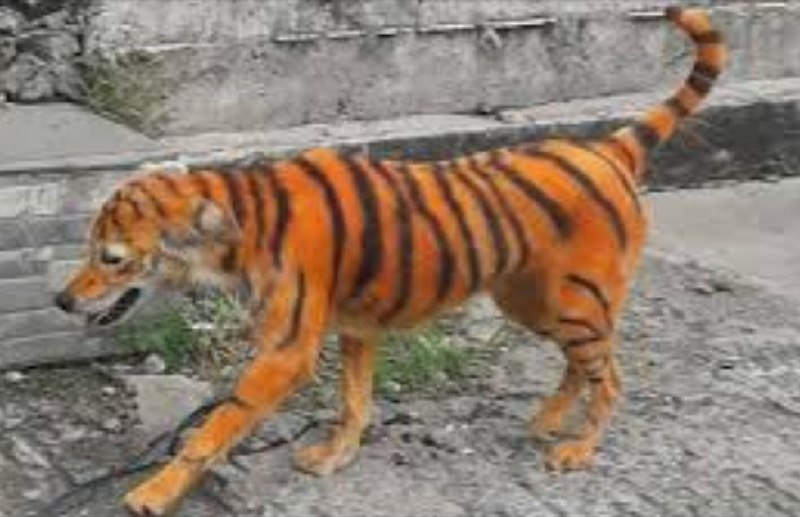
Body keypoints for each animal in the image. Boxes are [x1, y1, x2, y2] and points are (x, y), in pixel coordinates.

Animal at [53, 7, 726, 515]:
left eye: (112, 258)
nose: (61, 300)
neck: (239, 225)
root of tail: (609, 147)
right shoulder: (355, 328)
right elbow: (355, 401)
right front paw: (334, 457)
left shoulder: (287, 350)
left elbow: (215, 425)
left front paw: (152, 492)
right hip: (532, 299)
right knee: (580, 366)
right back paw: (545, 422)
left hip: (576, 300)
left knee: (609, 374)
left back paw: (578, 449)